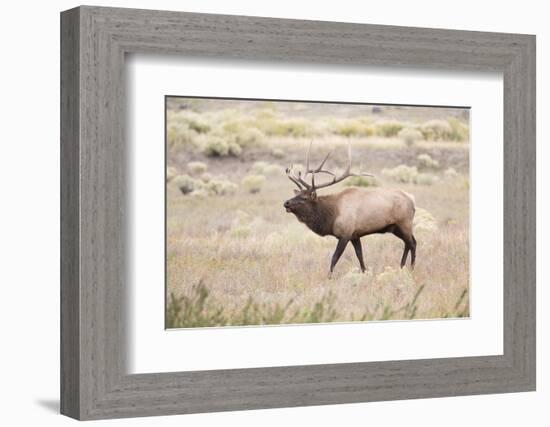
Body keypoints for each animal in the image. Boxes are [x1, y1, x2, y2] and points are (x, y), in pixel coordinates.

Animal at [284, 142, 418, 276]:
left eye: (304, 198)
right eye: (297, 194)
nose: (286, 203)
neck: (331, 216)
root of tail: (412, 199)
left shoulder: (345, 233)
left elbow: (334, 257)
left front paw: (329, 277)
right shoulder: (355, 235)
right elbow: (360, 256)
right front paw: (364, 272)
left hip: (404, 223)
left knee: (412, 243)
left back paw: (411, 268)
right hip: (395, 228)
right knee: (409, 242)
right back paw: (402, 266)